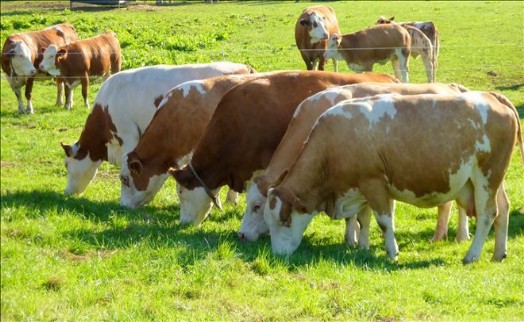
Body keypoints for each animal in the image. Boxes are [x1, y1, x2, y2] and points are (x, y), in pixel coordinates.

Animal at [239, 81, 472, 244]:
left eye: (257, 206)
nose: (241, 234)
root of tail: (450, 87)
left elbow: (357, 216)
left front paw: (352, 240)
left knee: (454, 205)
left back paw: (457, 235)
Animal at [264, 91, 520, 264]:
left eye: (284, 220)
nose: (277, 255)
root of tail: (491, 96)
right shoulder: (360, 189)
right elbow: (363, 219)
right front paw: (363, 247)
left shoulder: (373, 182)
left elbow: (384, 221)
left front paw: (391, 251)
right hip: (492, 181)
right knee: (503, 209)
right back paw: (499, 253)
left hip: (487, 176)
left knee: (488, 214)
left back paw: (472, 255)